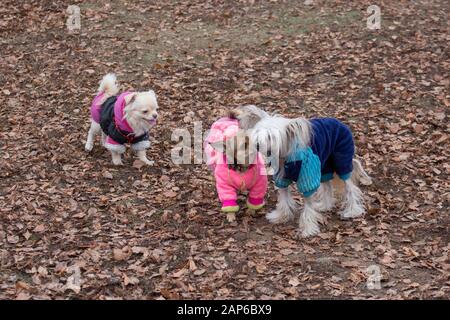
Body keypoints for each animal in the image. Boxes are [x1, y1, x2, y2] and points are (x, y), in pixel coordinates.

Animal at [232, 105, 372, 238]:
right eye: (257, 132)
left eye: (270, 136)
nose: (256, 145)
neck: (285, 156)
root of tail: (338, 122)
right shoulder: (282, 179)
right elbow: (283, 198)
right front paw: (281, 216)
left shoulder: (307, 178)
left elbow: (308, 206)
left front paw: (308, 229)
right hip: (324, 164)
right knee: (327, 185)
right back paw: (324, 206)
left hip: (341, 161)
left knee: (350, 187)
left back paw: (352, 210)